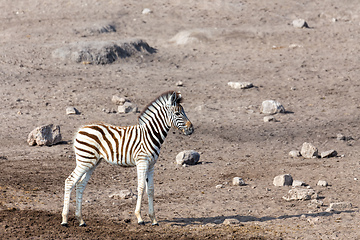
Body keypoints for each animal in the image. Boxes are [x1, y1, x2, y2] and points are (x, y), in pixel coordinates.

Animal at [61, 90, 194, 227]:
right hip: (85, 160)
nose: (191, 129)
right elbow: (141, 187)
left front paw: (153, 219)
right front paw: (139, 217)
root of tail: (81, 129)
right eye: (178, 113)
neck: (150, 134)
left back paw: (80, 219)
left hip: (92, 162)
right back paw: (64, 219)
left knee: (80, 185)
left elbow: (151, 189)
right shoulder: (142, 161)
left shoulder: (151, 164)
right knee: (70, 181)